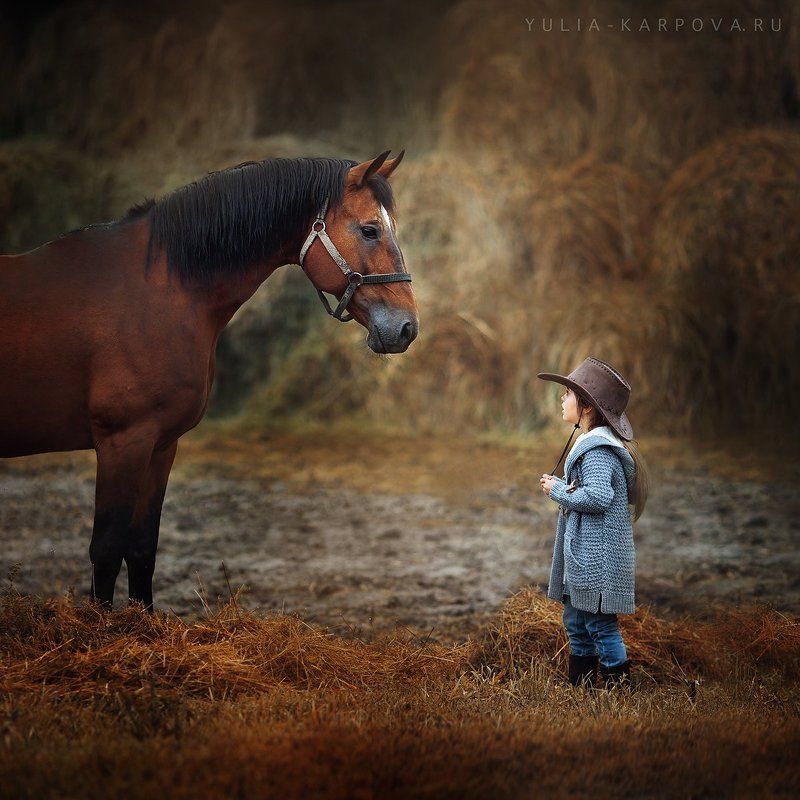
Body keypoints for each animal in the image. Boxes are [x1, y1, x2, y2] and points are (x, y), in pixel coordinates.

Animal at [0, 150, 418, 610]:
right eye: (369, 230)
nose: (406, 328)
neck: (160, 290)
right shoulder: (121, 442)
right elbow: (107, 549)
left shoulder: (160, 444)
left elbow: (141, 548)